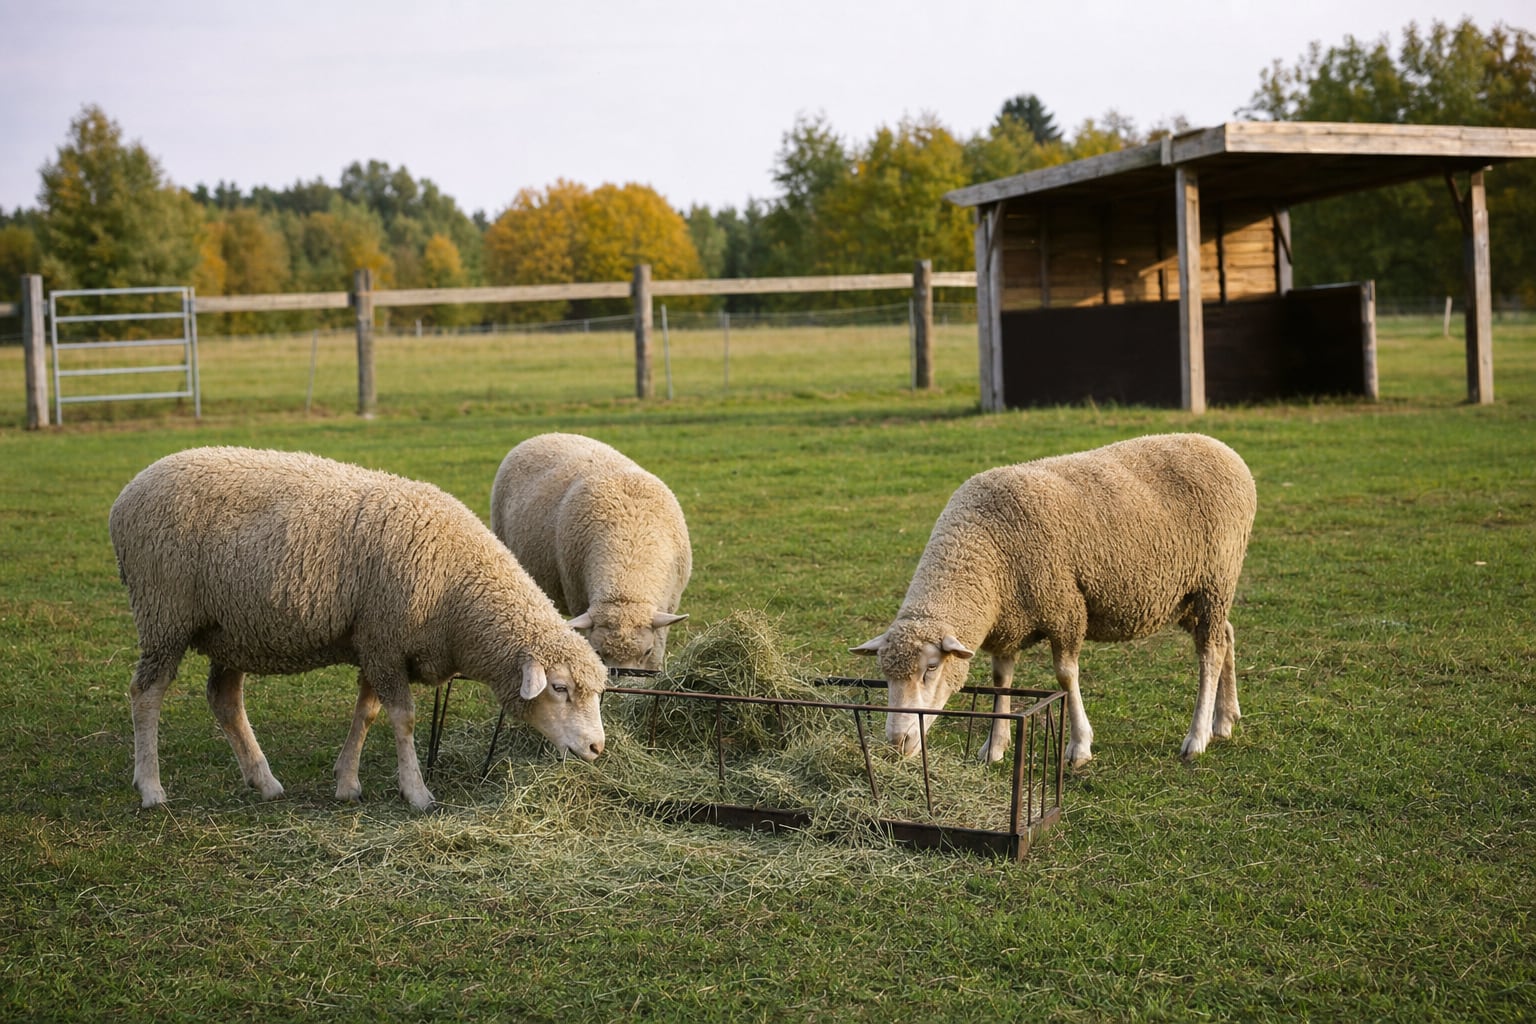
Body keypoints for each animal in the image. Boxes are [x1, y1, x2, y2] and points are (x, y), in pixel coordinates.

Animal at [109, 446, 608, 812]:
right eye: (560, 688)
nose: (597, 747)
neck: (458, 589)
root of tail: (127, 492)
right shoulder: (385, 641)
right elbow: (403, 718)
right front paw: (417, 793)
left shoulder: (375, 641)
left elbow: (366, 712)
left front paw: (347, 782)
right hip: (164, 614)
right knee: (146, 694)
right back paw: (151, 788)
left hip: (231, 629)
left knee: (225, 700)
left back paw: (264, 781)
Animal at [852, 432, 1256, 768]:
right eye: (884, 675)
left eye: (931, 668)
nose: (897, 743)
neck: (982, 550)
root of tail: (1224, 449)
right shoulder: (1008, 623)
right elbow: (1001, 680)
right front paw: (994, 747)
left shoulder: (1066, 608)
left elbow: (1065, 676)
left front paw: (1079, 746)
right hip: (1185, 596)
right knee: (1226, 636)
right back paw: (1225, 719)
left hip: (1214, 580)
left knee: (1209, 653)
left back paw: (1198, 737)